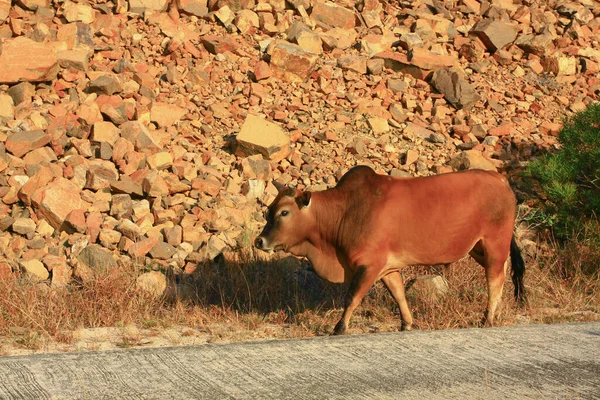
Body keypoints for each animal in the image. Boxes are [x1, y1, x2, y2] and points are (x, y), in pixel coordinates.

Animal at [255, 166, 528, 334]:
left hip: (494, 242)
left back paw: (487, 319)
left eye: (284, 212)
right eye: (270, 210)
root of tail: (501, 179)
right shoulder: (387, 268)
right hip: (478, 248)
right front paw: (407, 324)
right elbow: (399, 294)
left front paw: (339, 327)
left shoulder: (369, 265)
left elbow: (352, 297)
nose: (259, 241)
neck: (344, 212)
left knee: (495, 278)